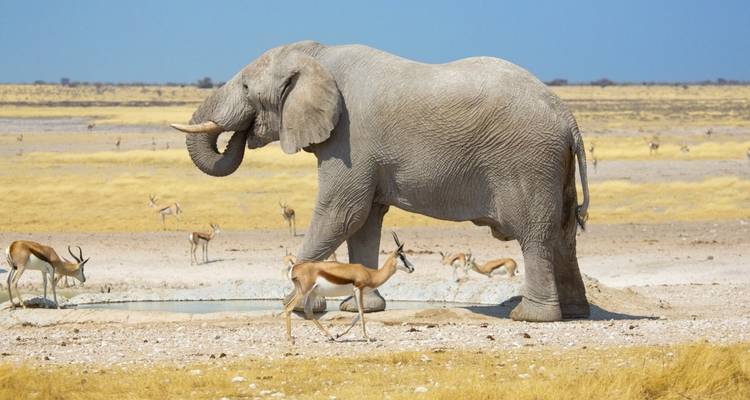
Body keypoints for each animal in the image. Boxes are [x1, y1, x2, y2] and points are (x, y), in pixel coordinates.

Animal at [171, 40, 591, 322]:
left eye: (245, 88)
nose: (241, 133)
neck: (317, 54)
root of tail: (567, 117)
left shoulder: (350, 139)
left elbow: (341, 213)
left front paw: (303, 306)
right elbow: (364, 221)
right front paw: (359, 307)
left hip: (528, 163)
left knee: (536, 236)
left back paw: (529, 316)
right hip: (553, 166)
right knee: (564, 236)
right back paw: (574, 311)